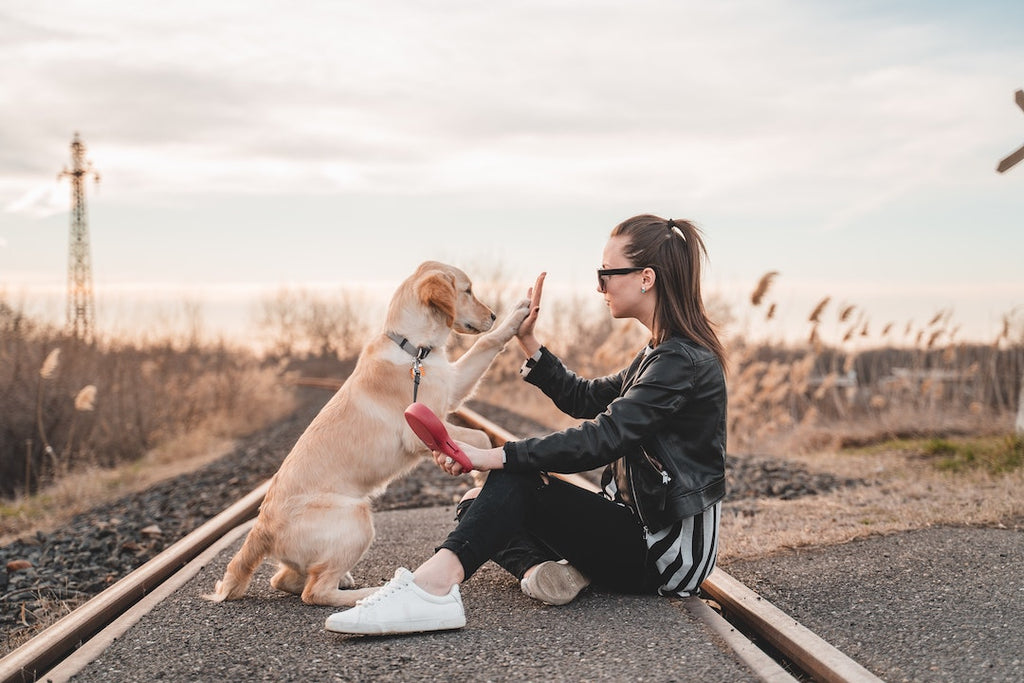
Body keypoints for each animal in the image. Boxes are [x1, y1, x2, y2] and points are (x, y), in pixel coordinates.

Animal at [205, 264, 528, 610]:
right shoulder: (419, 428)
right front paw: (480, 476)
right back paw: (367, 594)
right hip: (357, 518)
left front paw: (517, 315)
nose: (493, 315)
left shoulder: (452, 388)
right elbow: (480, 437)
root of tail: (260, 529)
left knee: (283, 579)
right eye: (467, 291)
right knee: (314, 592)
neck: (414, 350)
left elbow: (485, 345)